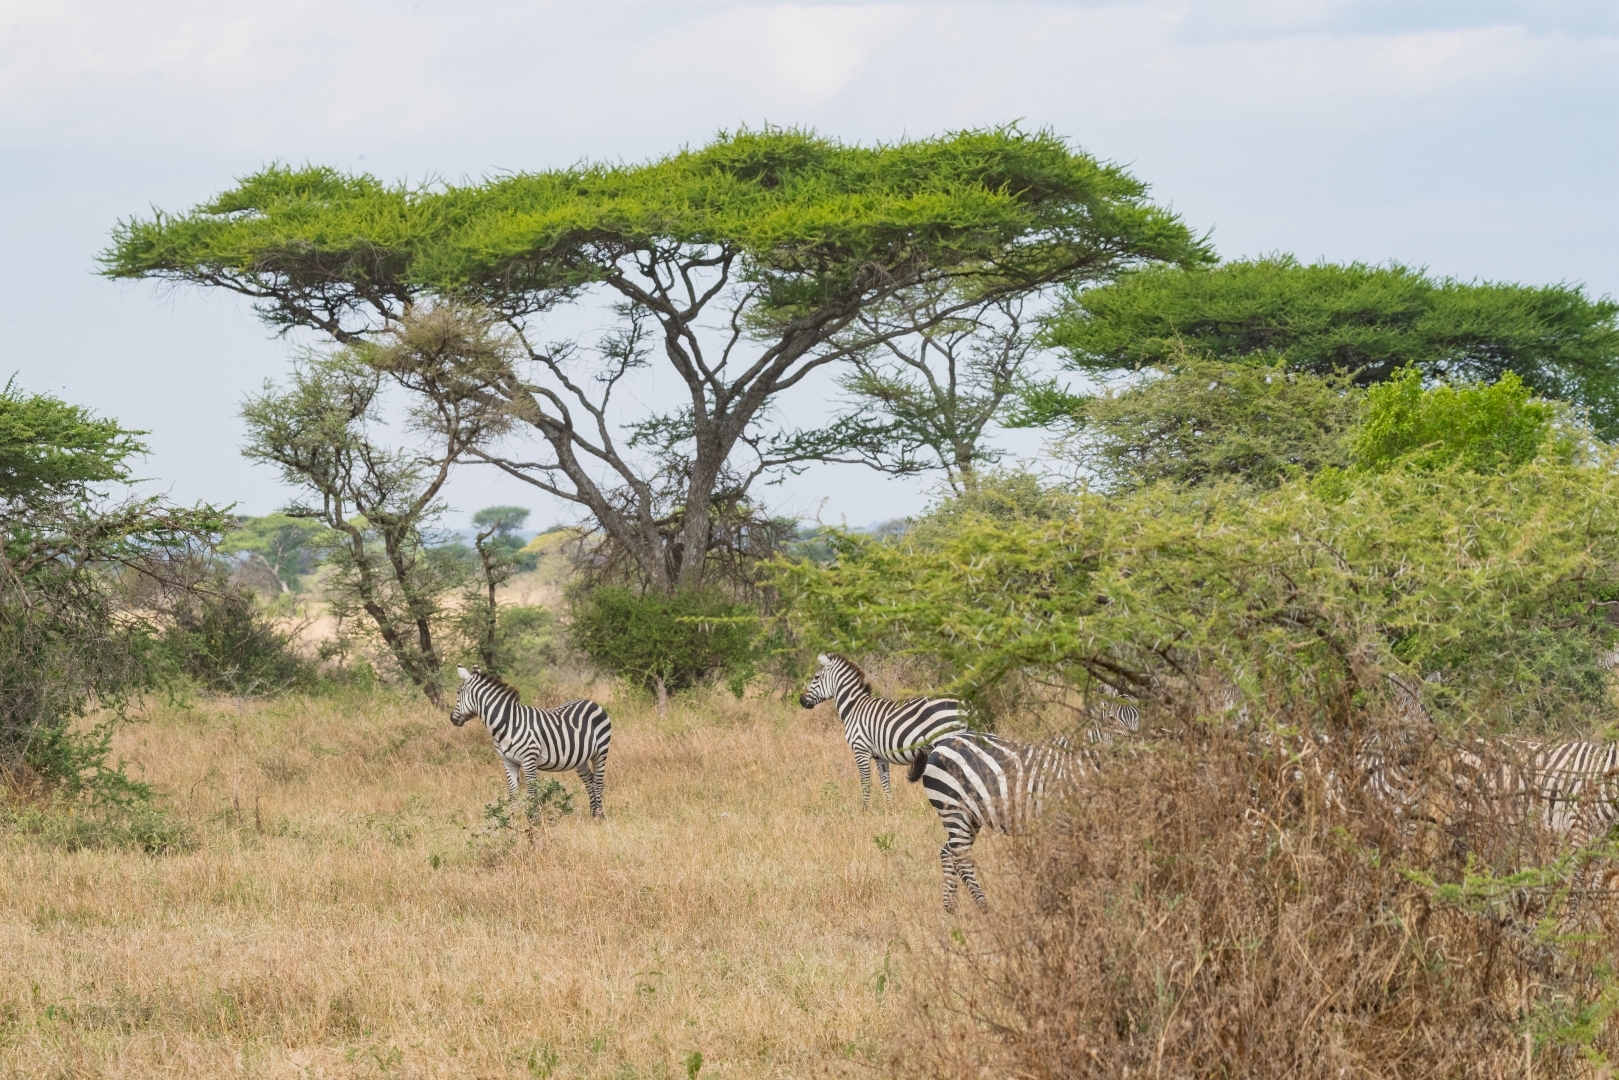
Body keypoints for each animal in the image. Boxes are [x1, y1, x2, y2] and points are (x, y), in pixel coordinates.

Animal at [450, 663, 611, 822]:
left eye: (458, 692)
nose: (451, 718)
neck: (508, 723)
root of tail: (592, 702)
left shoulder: (529, 759)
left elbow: (532, 792)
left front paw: (534, 821)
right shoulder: (508, 761)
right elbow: (513, 792)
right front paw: (514, 822)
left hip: (600, 752)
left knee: (598, 783)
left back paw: (600, 817)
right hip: (580, 758)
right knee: (589, 781)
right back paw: (593, 815)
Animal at [799, 650, 964, 809]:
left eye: (816, 677)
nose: (801, 700)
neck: (854, 707)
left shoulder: (861, 751)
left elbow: (866, 783)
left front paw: (865, 811)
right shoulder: (880, 757)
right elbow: (885, 784)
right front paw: (890, 809)